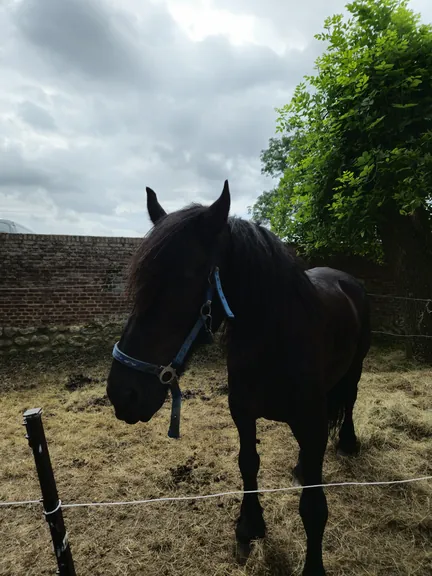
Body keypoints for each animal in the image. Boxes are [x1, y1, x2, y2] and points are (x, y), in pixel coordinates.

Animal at [106, 181, 370, 576]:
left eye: (183, 279)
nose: (122, 393)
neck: (275, 341)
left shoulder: (311, 422)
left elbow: (313, 506)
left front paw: (313, 566)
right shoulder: (242, 412)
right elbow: (249, 464)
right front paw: (249, 526)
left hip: (355, 369)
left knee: (350, 400)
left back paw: (348, 443)